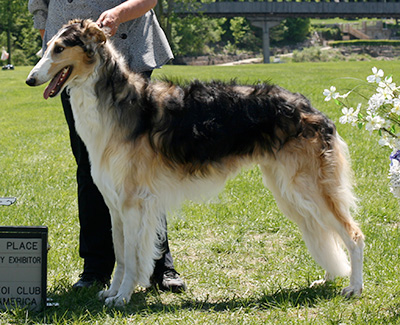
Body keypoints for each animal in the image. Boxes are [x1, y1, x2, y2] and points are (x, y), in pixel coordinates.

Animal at [26, 19, 364, 304]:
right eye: (47, 46)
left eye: (60, 48)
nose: (30, 79)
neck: (118, 103)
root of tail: (312, 109)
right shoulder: (115, 205)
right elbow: (121, 255)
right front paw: (111, 292)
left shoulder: (134, 203)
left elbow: (133, 257)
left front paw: (122, 297)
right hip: (290, 193)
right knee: (326, 234)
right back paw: (327, 279)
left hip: (307, 188)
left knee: (354, 235)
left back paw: (354, 288)